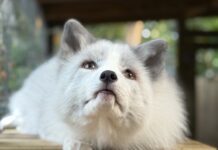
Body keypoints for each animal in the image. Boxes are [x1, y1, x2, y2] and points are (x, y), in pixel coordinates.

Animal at [0, 19, 187, 149]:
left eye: (129, 74)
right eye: (89, 65)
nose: (108, 75)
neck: (102, 128)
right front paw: (76, 143)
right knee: (13, 117)